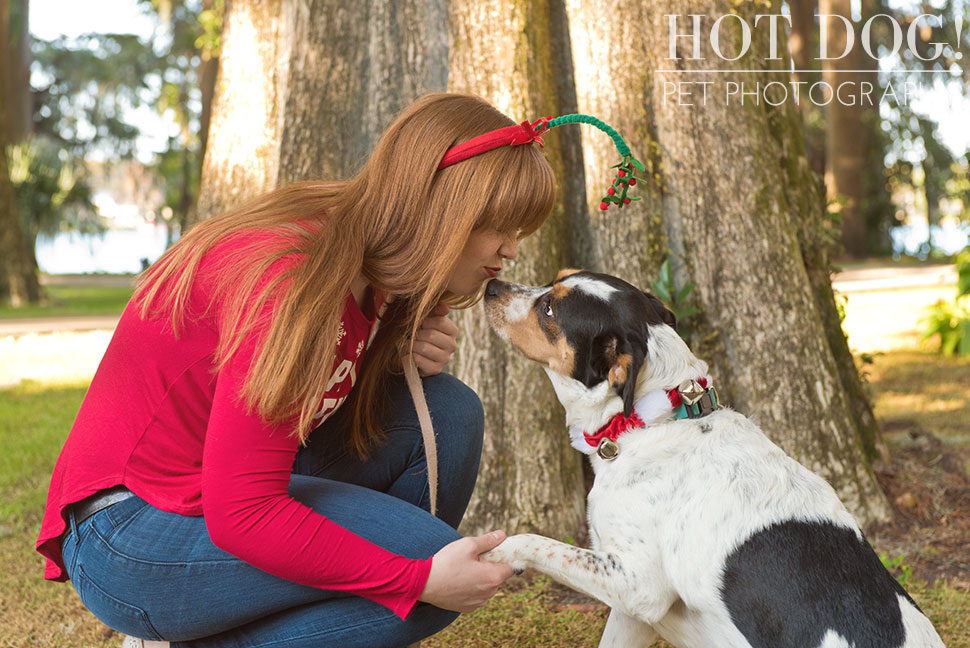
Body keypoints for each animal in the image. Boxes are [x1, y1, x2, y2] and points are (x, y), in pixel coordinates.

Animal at [480, 270, 940, 648]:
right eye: (553, 280)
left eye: (549, 308)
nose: (490, 285)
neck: (653, 420)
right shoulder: (635, 612)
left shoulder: (638, 587)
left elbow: (532, 540)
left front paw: (491, 554)